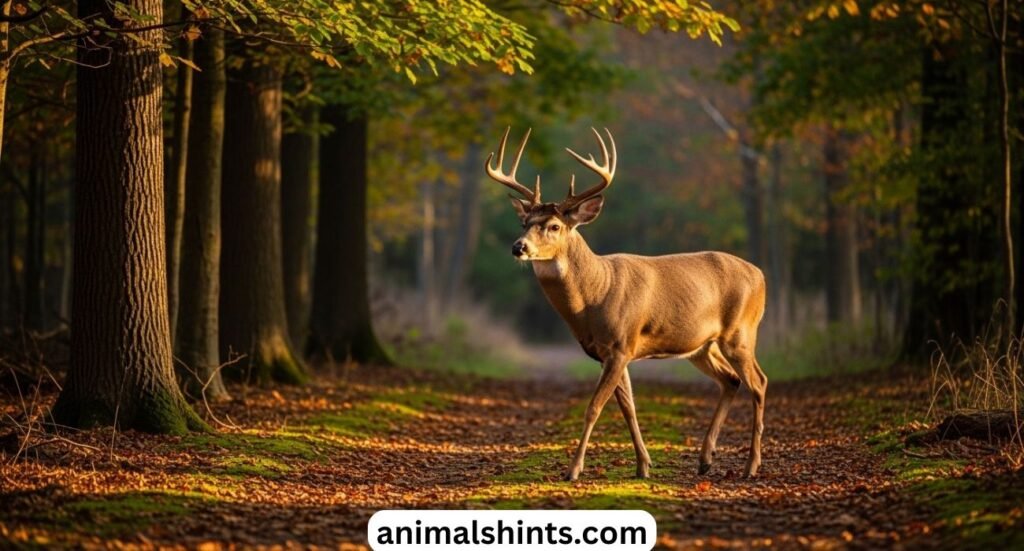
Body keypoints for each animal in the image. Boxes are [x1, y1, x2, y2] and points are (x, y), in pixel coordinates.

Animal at [484, 127, 768, 481]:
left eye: (554, 226)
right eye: (524, 223)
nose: (518, 247)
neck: (594, 296)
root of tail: (761, 275)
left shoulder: (621, 346)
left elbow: (594, 407)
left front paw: (573, 470)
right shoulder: (611, 352)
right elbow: (628, 408)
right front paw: (643, 465)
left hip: (740, 332)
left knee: (758, 383)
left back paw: (751, 466)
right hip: (702, 346)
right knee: (731, 380)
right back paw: (705, 460)